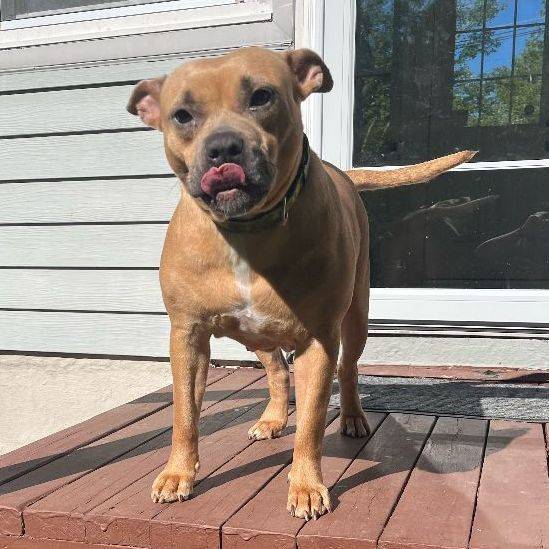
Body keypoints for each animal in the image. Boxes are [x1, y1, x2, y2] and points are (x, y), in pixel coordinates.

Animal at [126, 46, 474, 520]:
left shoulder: (318, 341)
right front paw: (178, 473)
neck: (247, 231)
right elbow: (184, 414)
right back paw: (273, 418)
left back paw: (352, 417)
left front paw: (306, 486)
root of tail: (343, 172)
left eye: (262, 96)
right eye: (181, 115)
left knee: (348, 368)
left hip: (356, 318)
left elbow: (310, 423)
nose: (223, 147)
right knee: (275, 369)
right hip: (256, 333)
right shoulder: (188, 335)